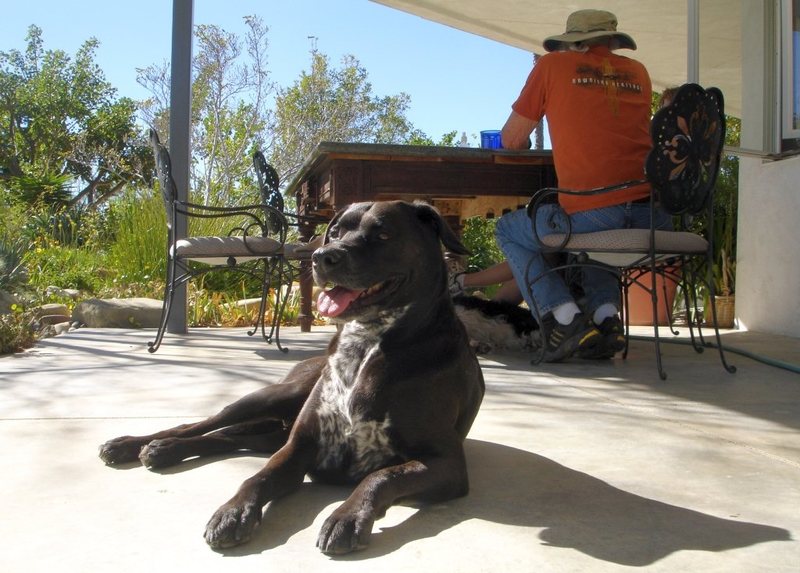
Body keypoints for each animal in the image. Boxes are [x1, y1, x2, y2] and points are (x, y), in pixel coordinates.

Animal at [100, 200, 488, 556]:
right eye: (335, 232)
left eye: (383, 234)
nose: (322, 256)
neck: (367, 345)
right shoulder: (299, 446)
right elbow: (258, 477)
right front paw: (233, 511)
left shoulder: (448, 463)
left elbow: (380, 476)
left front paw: (347, 516)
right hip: (273, 397)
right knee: (203, 425)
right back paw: (136, 445)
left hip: (272, 430)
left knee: (227, 437)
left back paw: (164, 450)